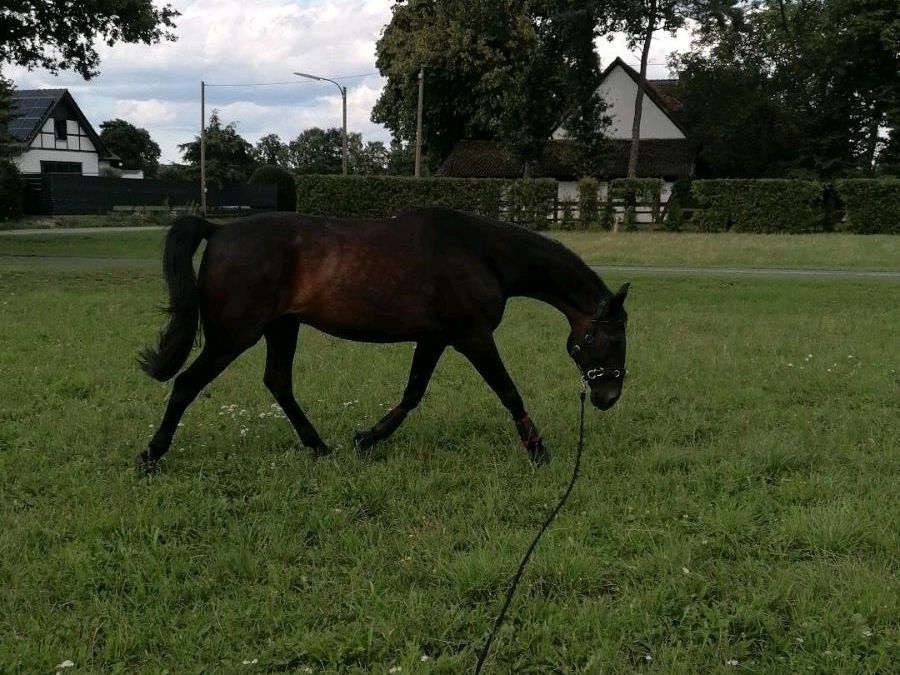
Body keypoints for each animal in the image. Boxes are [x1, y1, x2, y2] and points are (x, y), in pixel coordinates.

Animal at [137, 209, 628, 472]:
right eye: (613, 339)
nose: (608, 396)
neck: (482, 253)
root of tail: (219, 230)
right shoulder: (473, 337)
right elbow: (509, 392)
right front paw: (539, 451)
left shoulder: (436, 339)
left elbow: (412, 394)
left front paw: (367, 439)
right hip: (233, 335)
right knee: (186, 385)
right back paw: (150, 456)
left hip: (282, 327)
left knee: (277, 382)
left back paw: (320, 446)